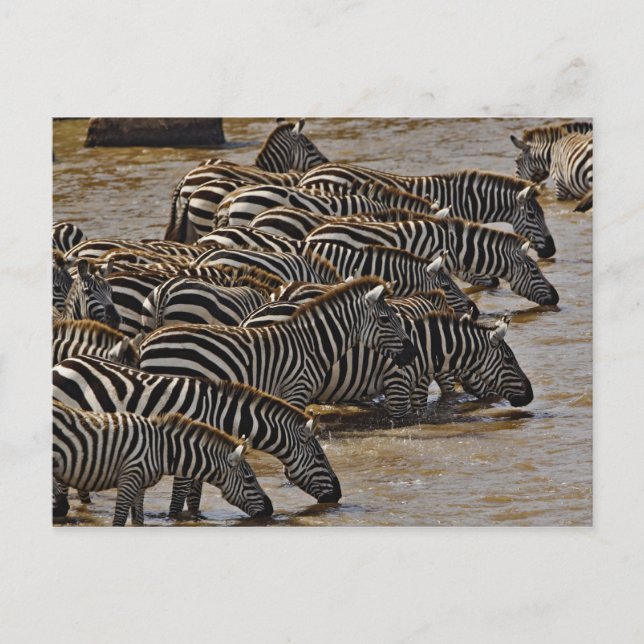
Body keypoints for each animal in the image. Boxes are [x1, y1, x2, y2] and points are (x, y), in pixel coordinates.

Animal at [52, 356, 342, 510]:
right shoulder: (185, 447)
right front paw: (175, 518)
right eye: (320, 458)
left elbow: (195, 494)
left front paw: (195, 517)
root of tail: (65, 362)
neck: (222, 416)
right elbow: (180, 495)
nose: (338, 495)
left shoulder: (208, 450)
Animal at [53, 401, 272, 525]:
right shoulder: (129, 478)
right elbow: (119, 521)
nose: (271, 510)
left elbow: (138, 521)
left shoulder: (139, 486)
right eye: (249, 479)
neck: (161, 450)